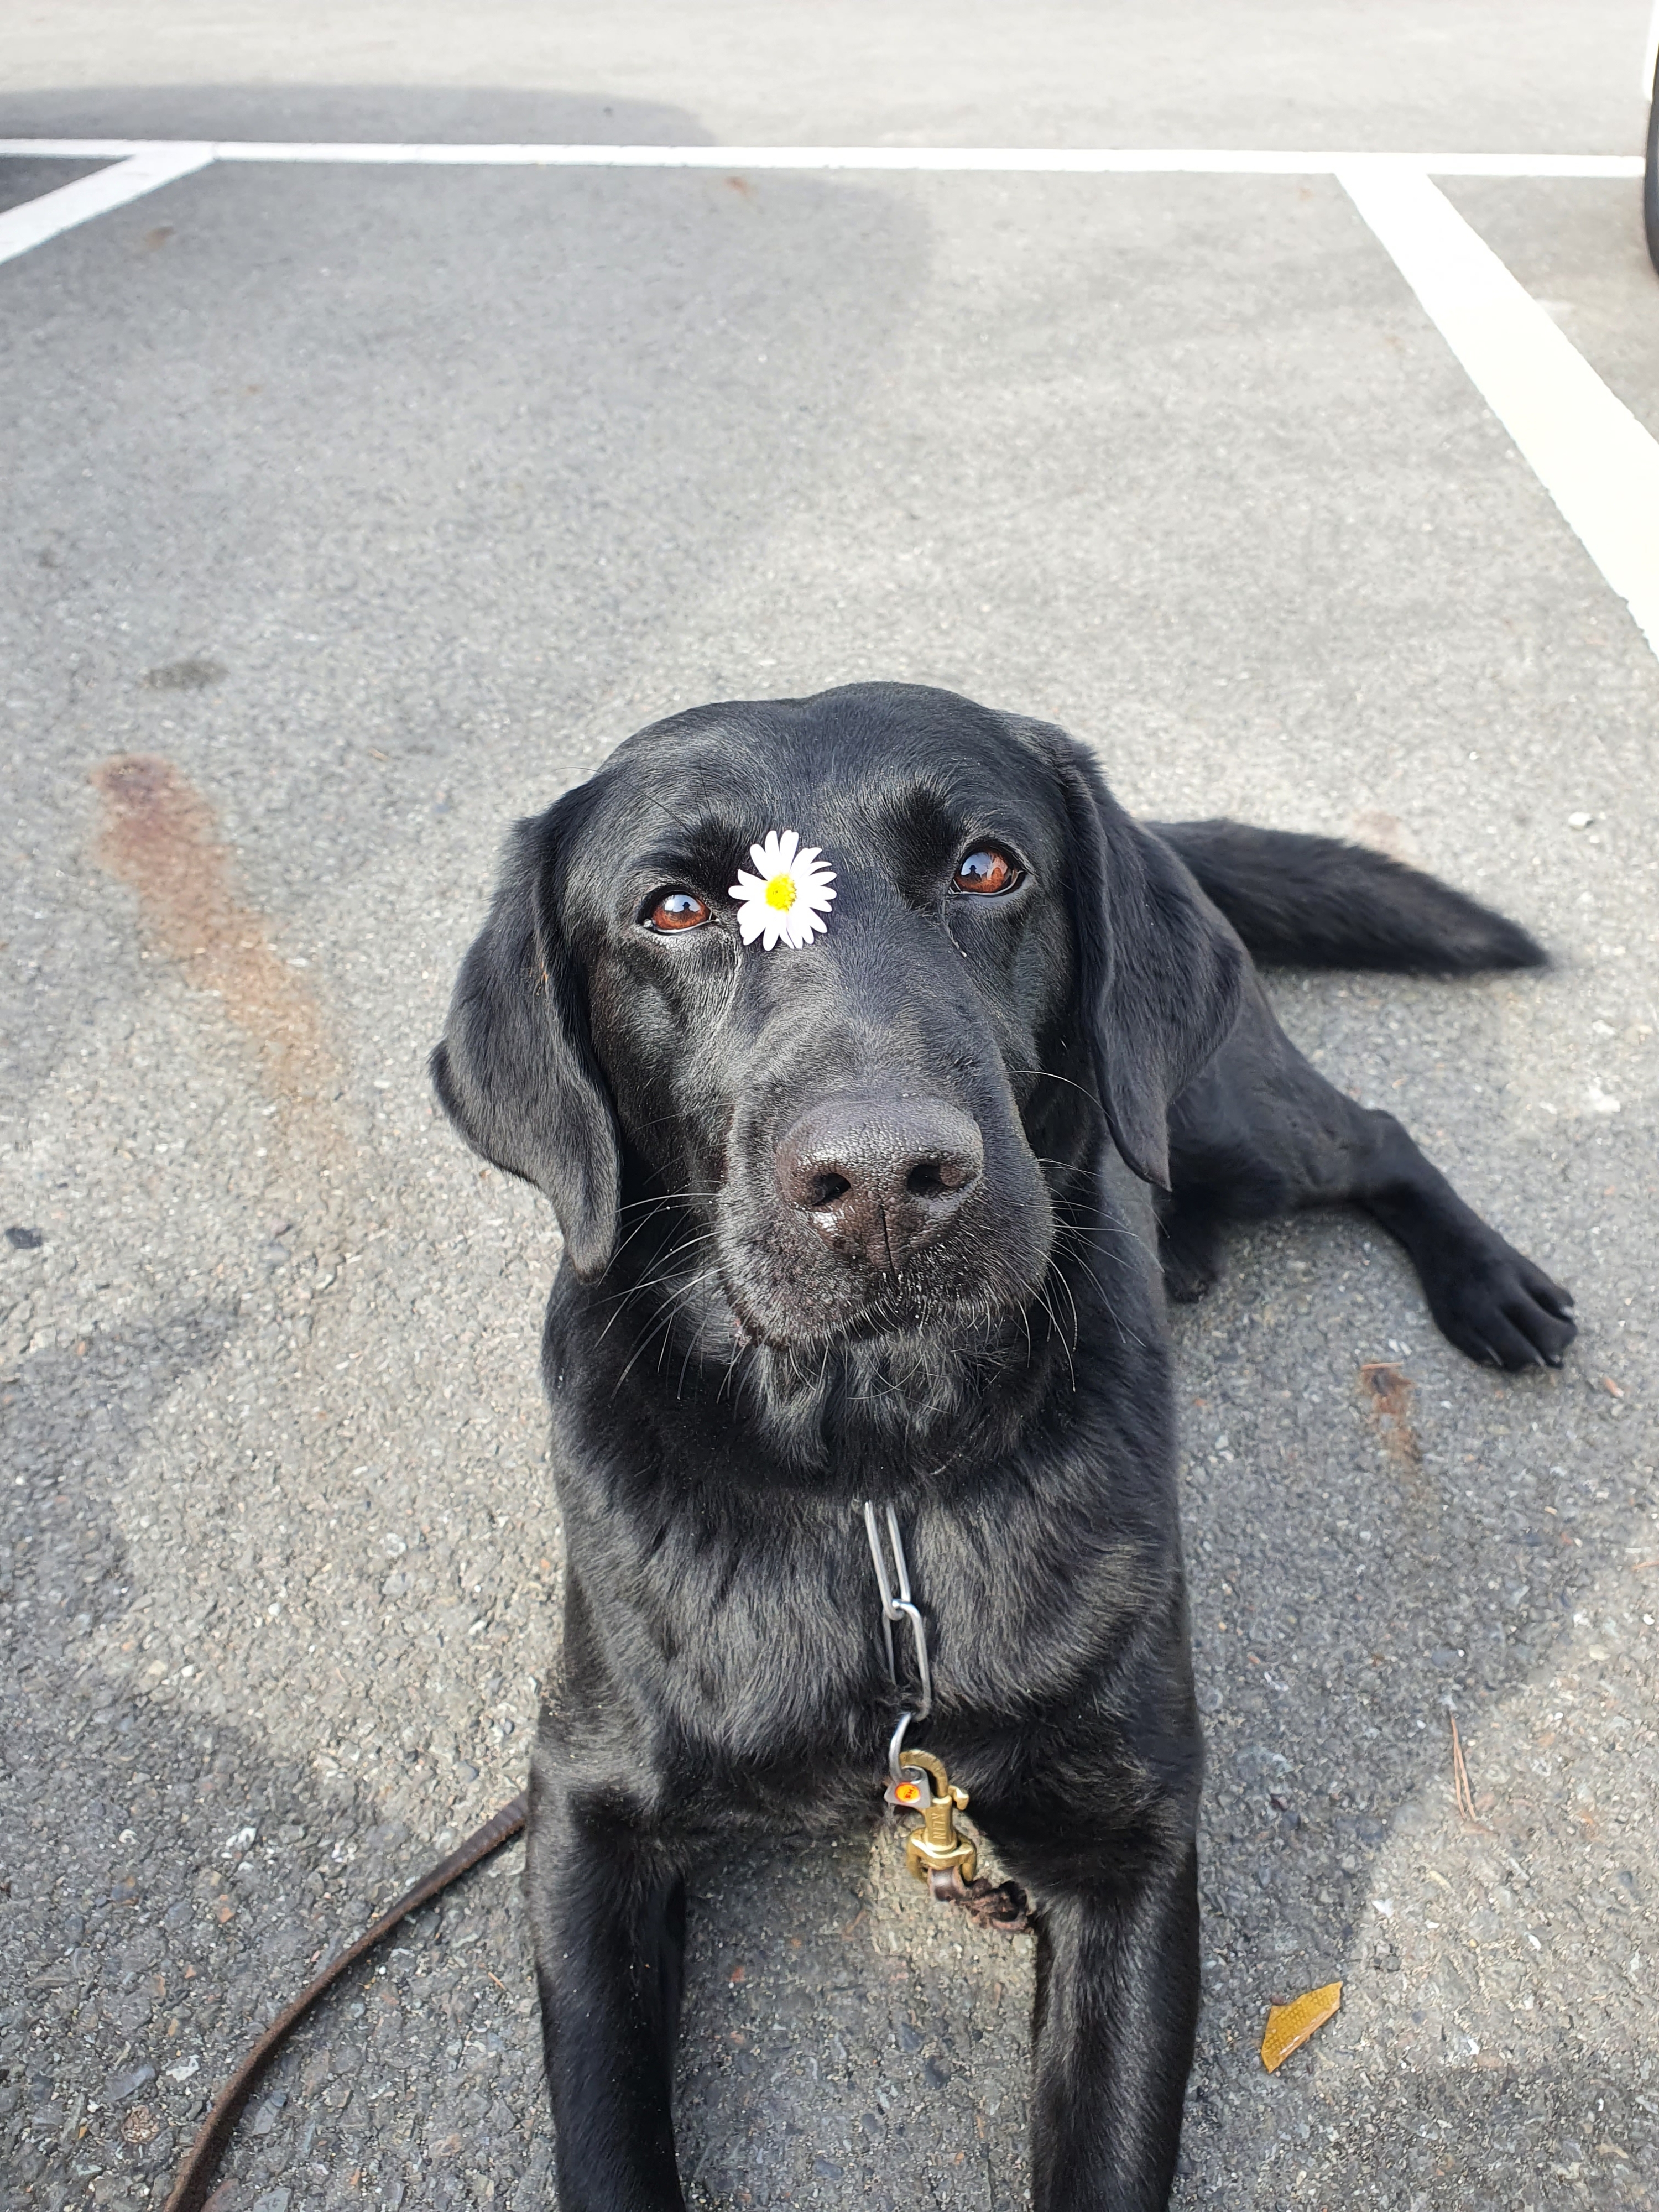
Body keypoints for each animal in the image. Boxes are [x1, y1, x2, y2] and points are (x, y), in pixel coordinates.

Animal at [429, 677, 1575, 2212]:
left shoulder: (1129, 1839)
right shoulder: (583, 1807)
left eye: (986, 869)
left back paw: (1490, 1286)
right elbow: (607, 2141)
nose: (882, 1181)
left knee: (1377, 1138)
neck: (873, 1479)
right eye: (673, 908)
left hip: (1233, 1118)